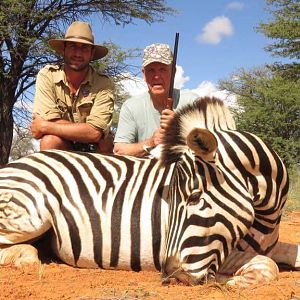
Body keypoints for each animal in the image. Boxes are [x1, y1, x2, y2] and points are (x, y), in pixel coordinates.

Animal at [0, 97, 298, 288]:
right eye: (170, 201)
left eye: (194, 198)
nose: (171, 276)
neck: (268, 216)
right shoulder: (223, 254)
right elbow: (267, 266)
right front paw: (233, 281)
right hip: (30, 215)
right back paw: (29, 259)